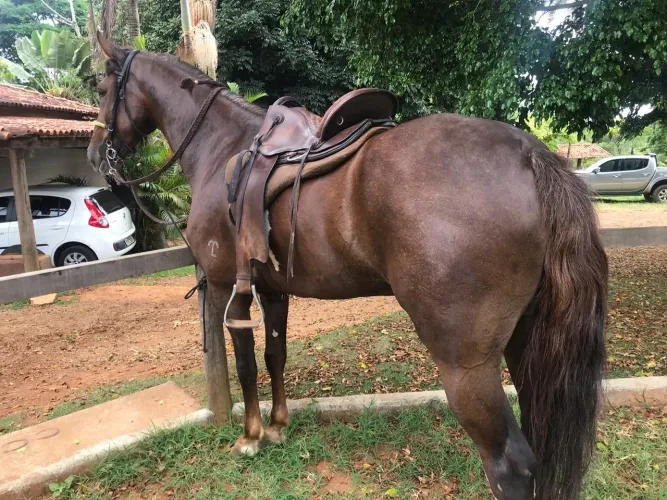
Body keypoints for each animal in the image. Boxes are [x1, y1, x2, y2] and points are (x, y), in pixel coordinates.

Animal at [87, 34, 607, 500]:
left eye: (101, 88)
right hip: (526, 345)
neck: (223, 147)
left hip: (467, 366)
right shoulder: (274, 289)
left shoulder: (223, 286)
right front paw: (277, 426)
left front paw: (251, 436)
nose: (95, 154)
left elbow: (247, 363)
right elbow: (275, 355)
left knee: (511, 467)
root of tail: (532, 155)